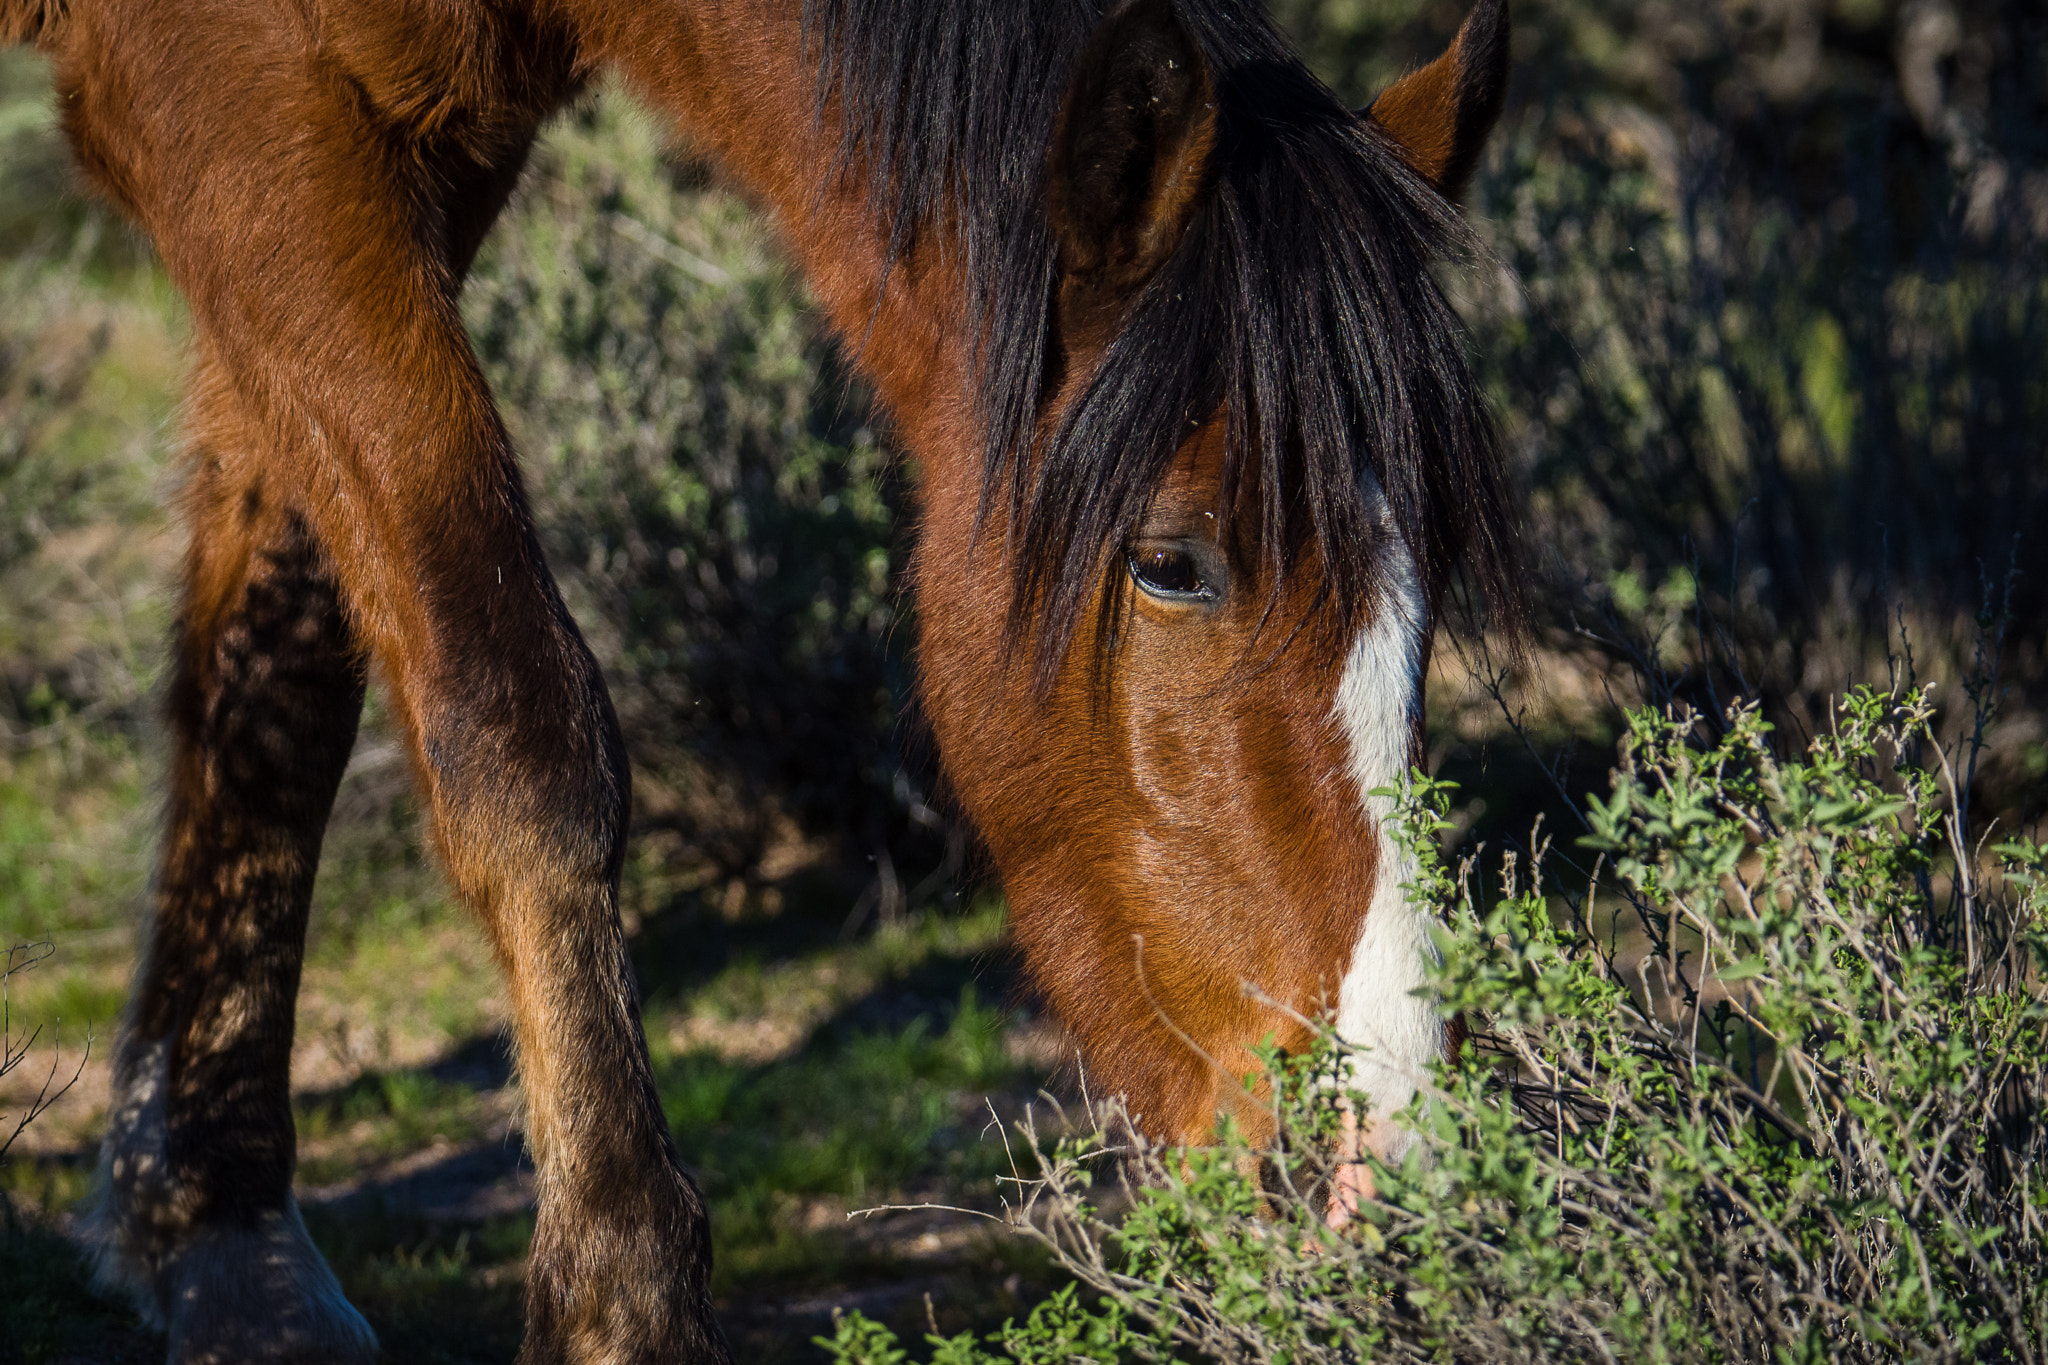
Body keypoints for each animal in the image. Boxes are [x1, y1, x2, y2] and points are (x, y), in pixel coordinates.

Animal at [4, 0, 1523, 1358]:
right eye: (1170, 562)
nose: (1391, 1176)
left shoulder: (402, 139)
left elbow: (285, 660)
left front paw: (211, 1227)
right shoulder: (241, 102)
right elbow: (518, 721)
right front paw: (621, 1305)